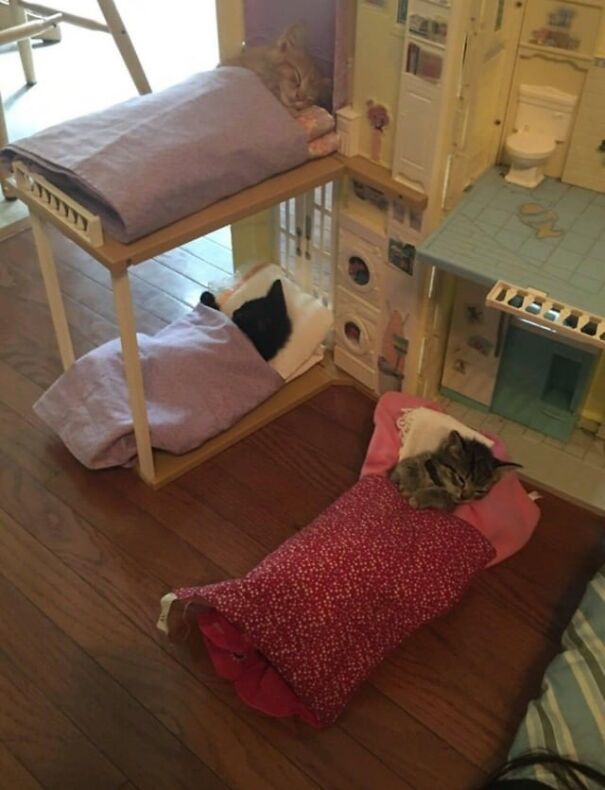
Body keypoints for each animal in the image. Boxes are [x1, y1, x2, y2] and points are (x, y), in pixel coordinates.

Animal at [390, 434, 520, 512]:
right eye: (461, 479)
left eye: (479, 491)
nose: (464, 497)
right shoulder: (418, 460)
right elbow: (409, 465)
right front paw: (410, 486)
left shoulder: (451, 506)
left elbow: (441, 494)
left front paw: (420, 497)